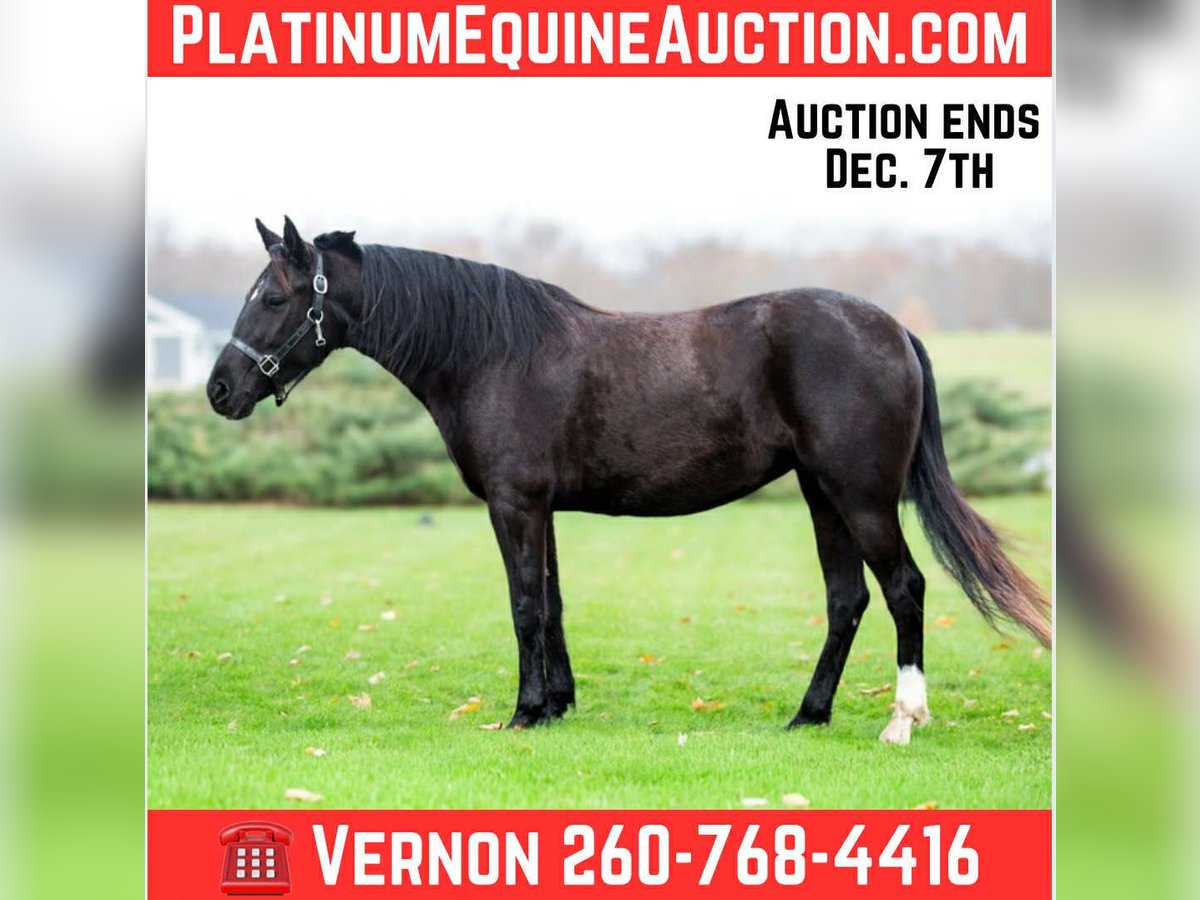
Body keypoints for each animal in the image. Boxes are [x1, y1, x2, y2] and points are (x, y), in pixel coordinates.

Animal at [207, 217, 1050, 744]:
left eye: (274, 296)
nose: (219, 391)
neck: (490, 352)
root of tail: (894, 329)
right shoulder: (541, 507)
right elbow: (551, 604)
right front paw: (556, 706)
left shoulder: (515, 503)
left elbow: (523, 606)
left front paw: (522, 713)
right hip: (822, 494)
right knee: (847, 600)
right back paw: (808, 716)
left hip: (862, 494)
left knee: (905, 588)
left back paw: (902, 720)